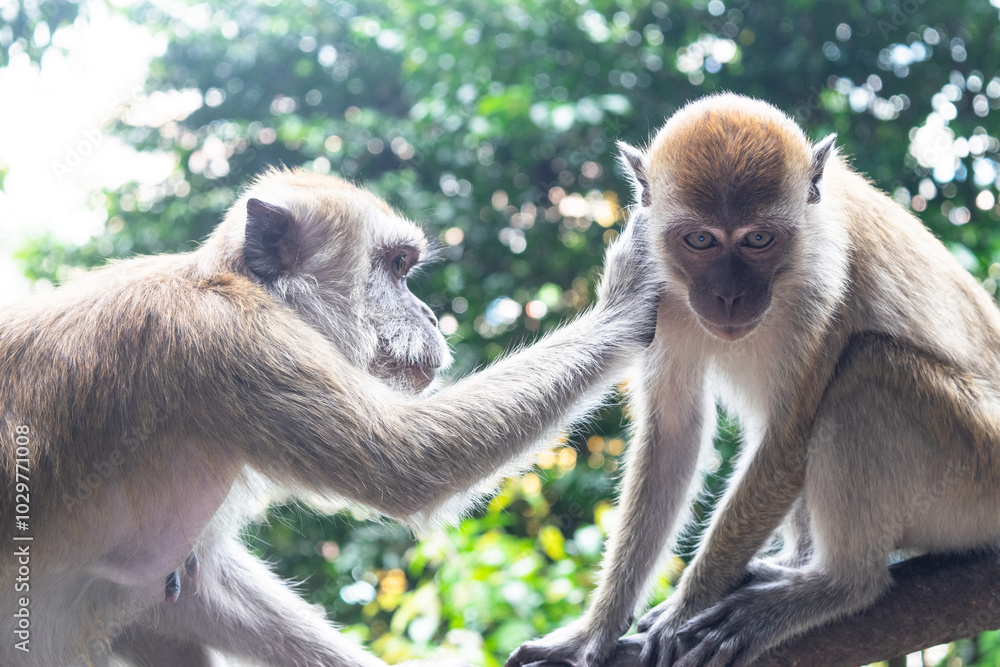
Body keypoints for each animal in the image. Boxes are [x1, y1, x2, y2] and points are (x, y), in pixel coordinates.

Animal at [0, 167, 662, 667]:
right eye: (396, 266)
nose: (431, 314)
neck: (235, 283)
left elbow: (188, 592)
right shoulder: (231, 342)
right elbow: (408, 461)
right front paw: (626, 298)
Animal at [507, 92, 1000, 667]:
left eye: (758, 239)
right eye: (701, 240)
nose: (728, 296)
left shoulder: (826, 284)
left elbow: (785, 445)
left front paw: (684, 609)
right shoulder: (661, 292)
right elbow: (673, 434)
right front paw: (594, 632)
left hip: (975, 477)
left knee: (867, 370)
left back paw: (837, 584)